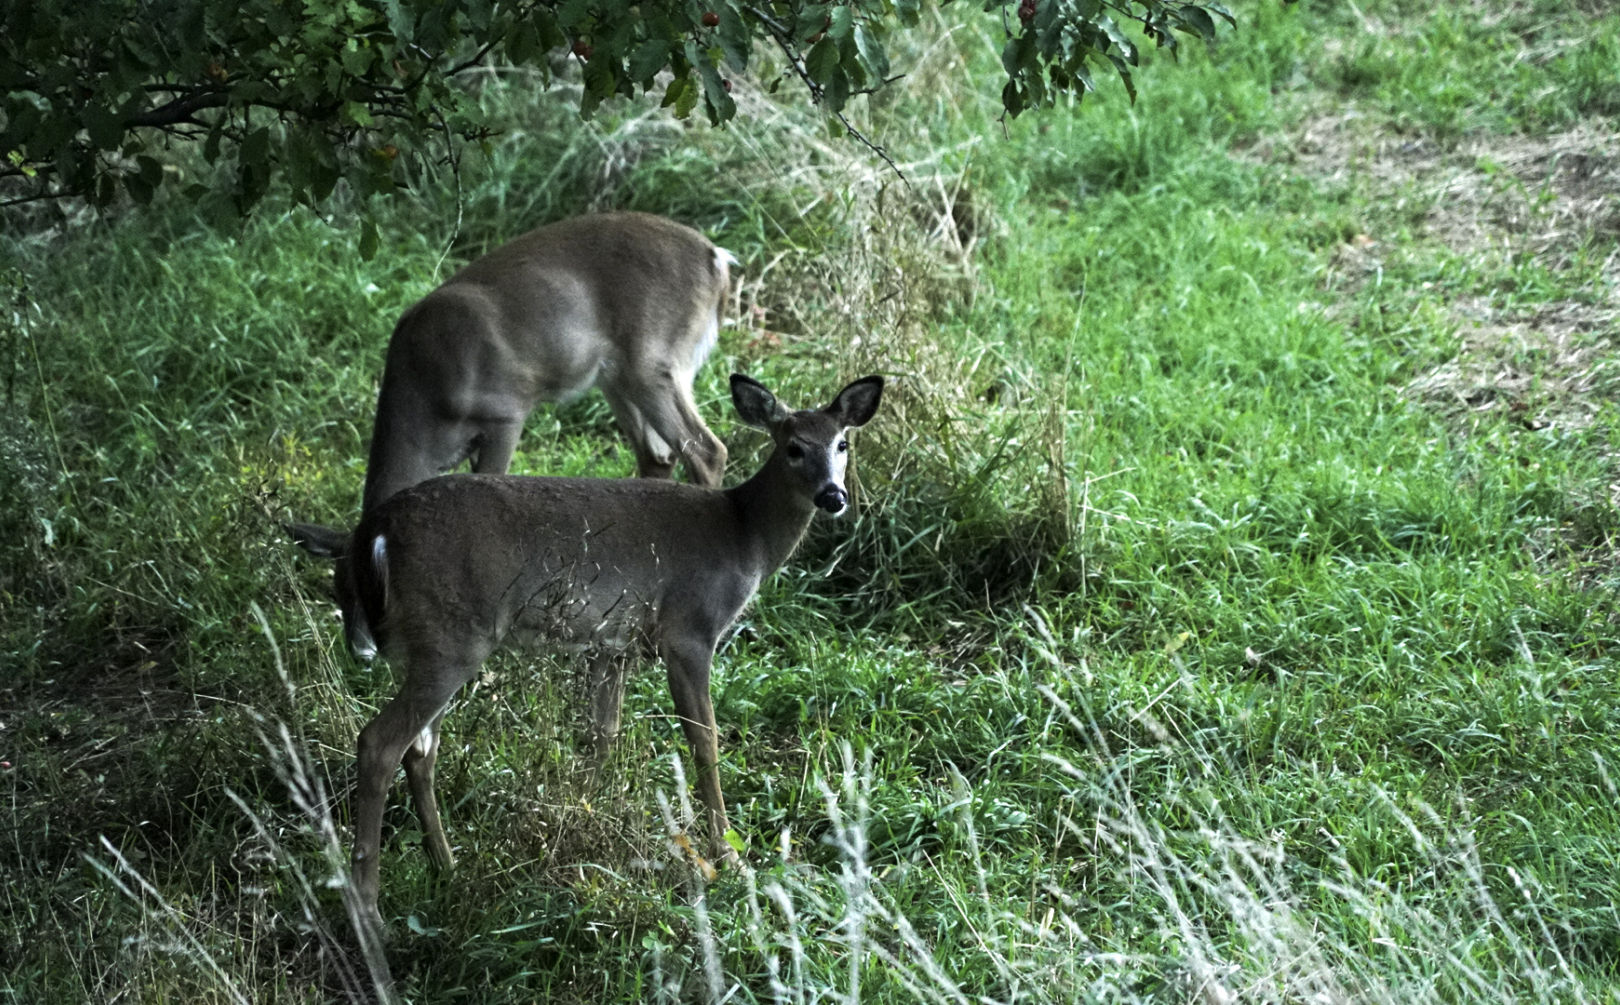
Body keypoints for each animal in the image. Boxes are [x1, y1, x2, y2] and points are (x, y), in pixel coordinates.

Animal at [281, 372, 887, 927]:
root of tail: (373, 534)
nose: (834, 496)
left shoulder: (610, 645)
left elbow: (601, 735)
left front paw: (580, 820)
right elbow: (705, 741)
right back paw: (368, 905)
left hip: (422, 645)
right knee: (380, 742)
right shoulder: (688, 631)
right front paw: (730, 857)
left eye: (843, 443)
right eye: (793, 446)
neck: (744, 535)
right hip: (452, 639)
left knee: (419, 748)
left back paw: (445, 865)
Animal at [361, 210, 735, 508]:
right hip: (617, 378)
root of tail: (718, 261)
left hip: (654, 361)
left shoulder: (506, 410)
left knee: (707, 451)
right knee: (658, 456)